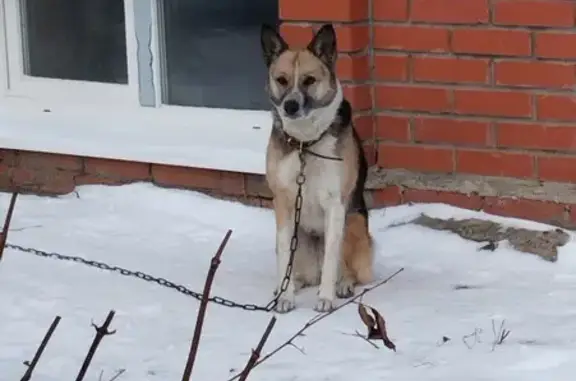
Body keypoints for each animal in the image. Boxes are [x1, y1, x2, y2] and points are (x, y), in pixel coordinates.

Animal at [260, 23, 374, 312]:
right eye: (281, 80)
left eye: (309, 80)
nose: (290, 106)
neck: (305, 142)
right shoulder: (283, 203)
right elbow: (284, 256)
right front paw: (285, 297)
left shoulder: (335, 204)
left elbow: (332, 259)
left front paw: (325, 297)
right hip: (298, 237)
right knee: (298, 269)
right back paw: (290, 285)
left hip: (354, 222)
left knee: (345, 268)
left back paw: (343, 284)